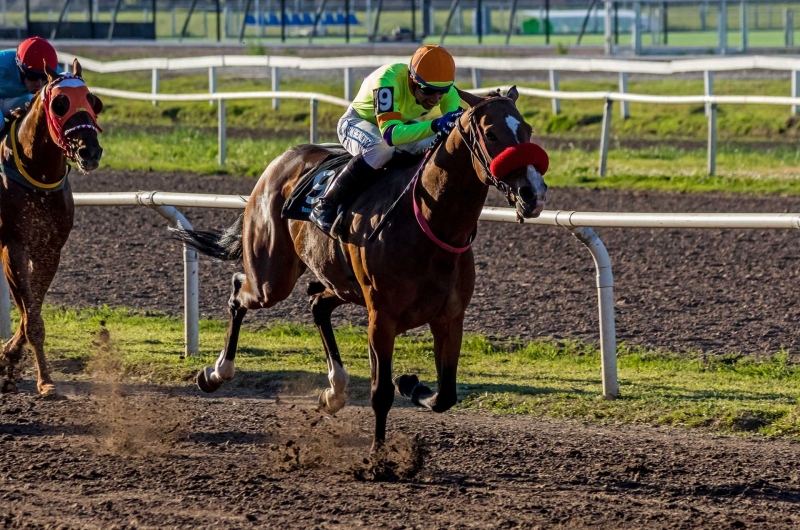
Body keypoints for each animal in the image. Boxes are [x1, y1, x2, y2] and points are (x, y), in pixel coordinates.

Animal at [0, 59, 104, 394]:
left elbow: (30, 311)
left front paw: (11, 360)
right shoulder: (13, 245)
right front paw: (43, 379)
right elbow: (29, 316)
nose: (90, 152)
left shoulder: (50, 249)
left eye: (93, 101)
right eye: (60, 104)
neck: (37, 177)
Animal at [176, 87, 548, 450]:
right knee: (240, 290)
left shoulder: (449, 317)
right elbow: (381, 394)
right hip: (272, 278)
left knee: (316, 301)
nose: (534, 193)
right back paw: (216, 373)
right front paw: (376, 456)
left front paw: (411, 384)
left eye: (527, 130)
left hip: (339, 283)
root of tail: (282, 160)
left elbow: (445, 396)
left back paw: (333, 391)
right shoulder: (381, 318)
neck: (430, 224)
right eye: (491, 133)